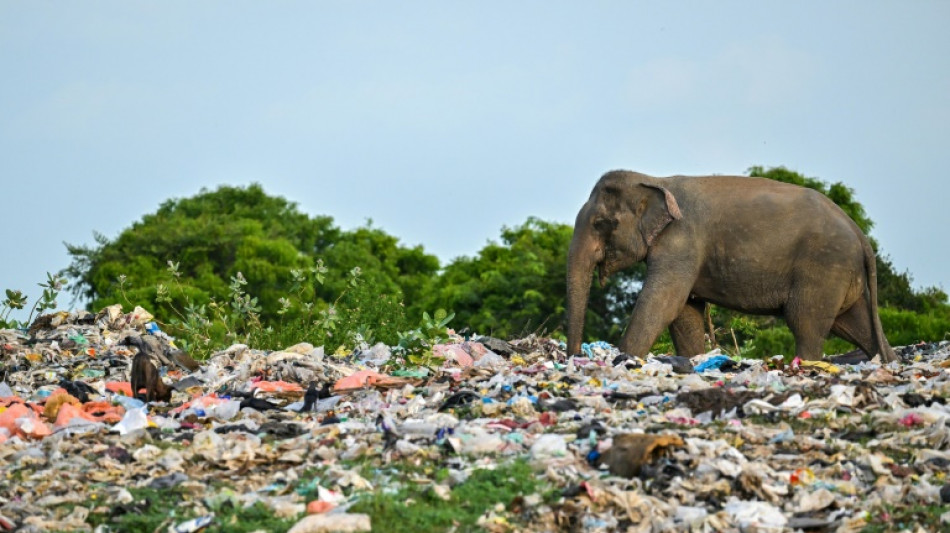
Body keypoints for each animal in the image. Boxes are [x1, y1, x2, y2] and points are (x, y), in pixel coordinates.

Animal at [568, 169, 896, 362]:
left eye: (600, 223)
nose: (575, 358)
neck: (655, 179)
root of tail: (860, 235)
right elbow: (685, 312)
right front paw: (693, 363)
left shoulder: (681, 242)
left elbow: (662, 303)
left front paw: (624, 360)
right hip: (842, 276)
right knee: (854, 325)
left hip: (824, 268)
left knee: (806, 324)